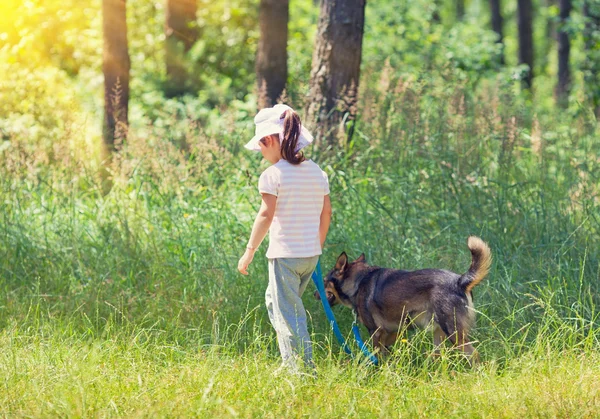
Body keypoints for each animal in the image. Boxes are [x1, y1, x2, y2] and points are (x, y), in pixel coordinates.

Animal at [314, 236, 492, 364]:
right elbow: (385, 352)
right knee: (439, 357)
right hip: (439, 334)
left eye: (324, 281)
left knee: (473, 354)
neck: (358, 281)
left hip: (453, 333)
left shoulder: (376, 332)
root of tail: (460, 281)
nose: (315, 294)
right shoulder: (393, 331)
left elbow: (376, 354)